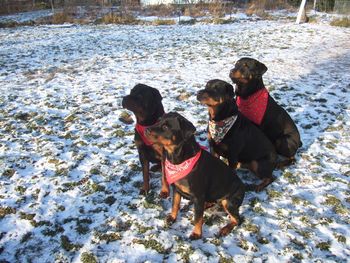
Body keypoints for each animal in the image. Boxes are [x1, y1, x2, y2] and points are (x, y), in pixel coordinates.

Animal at [146, 112, 245, 240]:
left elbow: (198, 217)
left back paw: (225, 229)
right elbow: (175, 205)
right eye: (158, 121)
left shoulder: (198, 196)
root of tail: (244, 188)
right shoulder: (176, 189)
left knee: (237, 219)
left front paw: (197, 233)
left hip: (229, 202)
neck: (179, 160)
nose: (146, 130)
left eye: (166, 127)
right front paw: (172, 217)